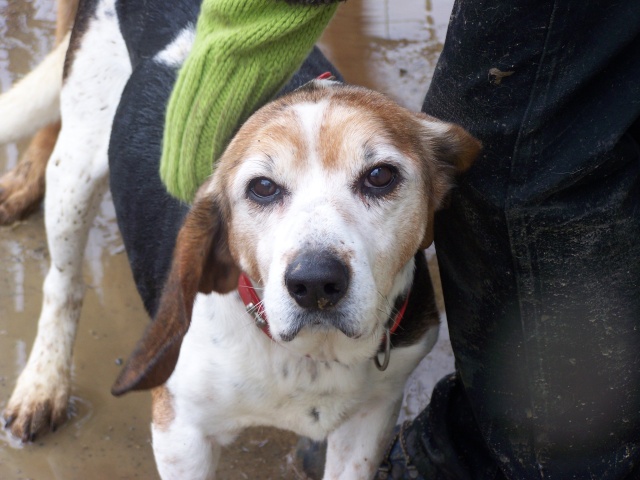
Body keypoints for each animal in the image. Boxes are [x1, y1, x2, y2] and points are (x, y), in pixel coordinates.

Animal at [1, 0, 480, 476]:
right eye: (262, 187)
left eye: (380, 176)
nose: (315, 283)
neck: (312, 356)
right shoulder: (180, 434)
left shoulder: (370, 419)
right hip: (73, 173)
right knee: (62, 283)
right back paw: (43, 384)